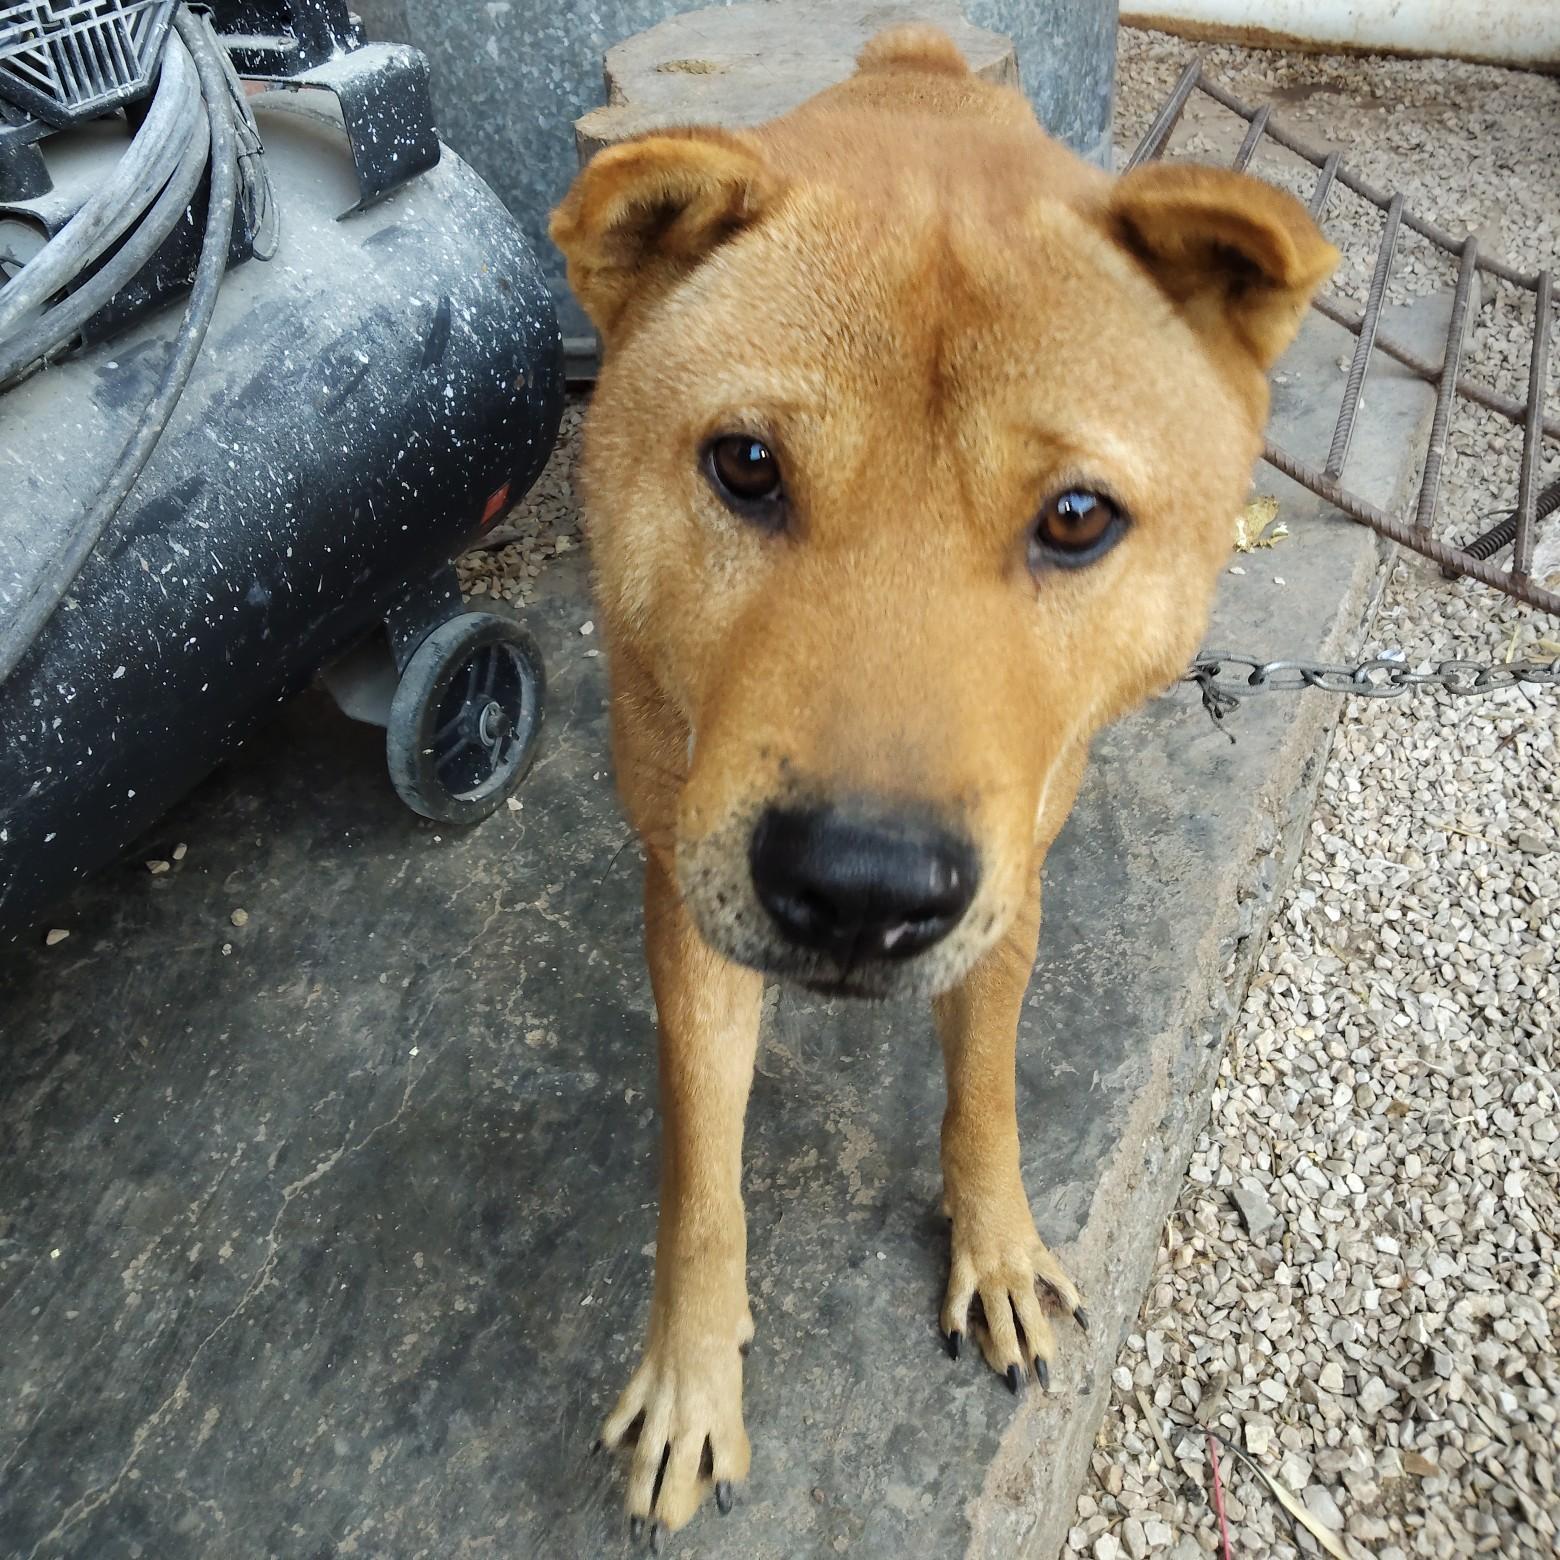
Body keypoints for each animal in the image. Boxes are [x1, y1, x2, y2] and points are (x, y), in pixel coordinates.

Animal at [551, 23, 1336, 1540]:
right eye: (745, 463)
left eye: (1077, 518)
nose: (860, 891)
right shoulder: (685, 907)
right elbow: (701, 1180)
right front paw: (692, 1372)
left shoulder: (1011, 887)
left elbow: (986, 1088)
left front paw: (999, 1242)